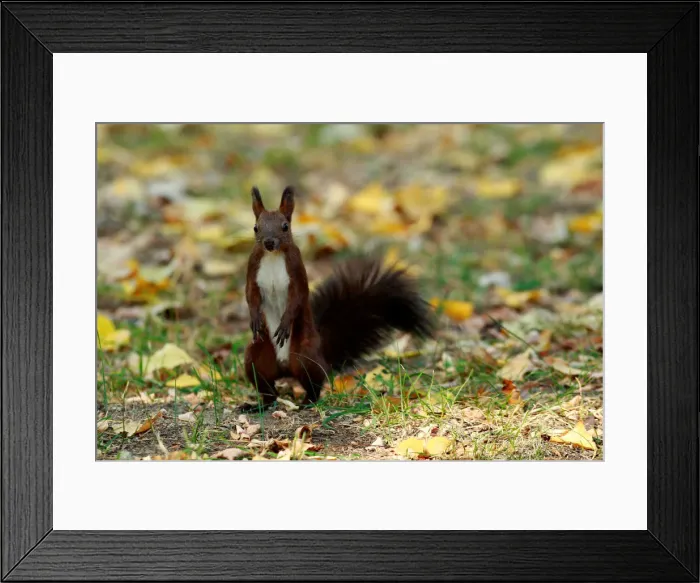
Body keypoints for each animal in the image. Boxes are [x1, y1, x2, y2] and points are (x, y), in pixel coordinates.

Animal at [243, 185, 435, 409]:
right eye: (256, 227)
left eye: (285, 226)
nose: (269, 243)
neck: (273, 257)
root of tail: (285, 369)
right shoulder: (253, 269)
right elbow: (251, 295)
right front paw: (255, 319)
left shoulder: (297, 270)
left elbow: (297, 298)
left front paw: (284, 323)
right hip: (256, 357)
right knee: (268, 389)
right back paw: (257, 406)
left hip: (306, 356)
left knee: (314, 384)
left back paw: (307, 401)